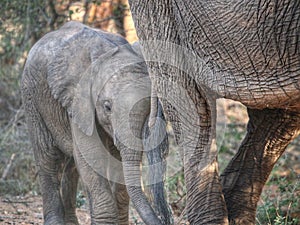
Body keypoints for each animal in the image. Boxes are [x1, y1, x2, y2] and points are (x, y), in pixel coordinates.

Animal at [21, 21, 169, 225]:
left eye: (150, 108)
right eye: (107, 107)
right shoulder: (78, 101)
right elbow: (92, 155)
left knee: (72, 165)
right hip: (32, 98)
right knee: (48, 158)